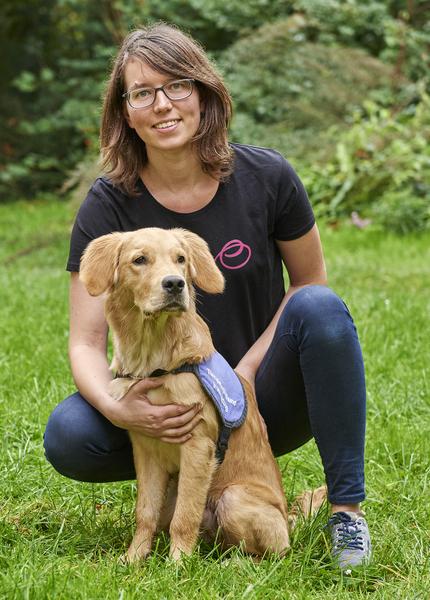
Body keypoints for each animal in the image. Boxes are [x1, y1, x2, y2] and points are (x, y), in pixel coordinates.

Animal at [80, 226, 326, 564]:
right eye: (139, 260)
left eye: (180, 259)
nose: (174, 284)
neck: (156, 360)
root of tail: (288, 521)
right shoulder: (145, 450)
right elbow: (144, 512)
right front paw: (132, 559)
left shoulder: (197, 446)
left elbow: (185, 517)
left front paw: (177, 565)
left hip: (233, 498)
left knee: (271, 554)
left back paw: (234, 565)